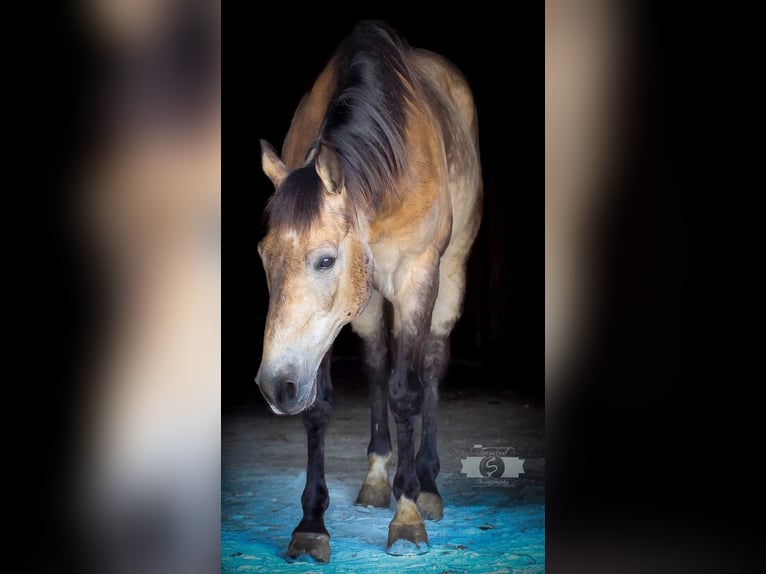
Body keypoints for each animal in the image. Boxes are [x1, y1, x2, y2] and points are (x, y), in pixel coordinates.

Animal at [258, 21, 486, 564]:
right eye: (262, 256)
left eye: (325, 260)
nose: (274, 387)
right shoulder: (329, 325)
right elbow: (321, 405)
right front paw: (312, 524)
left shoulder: (416, 278)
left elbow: (407, 393)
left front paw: (407, 517)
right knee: (378, 364)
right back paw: (377, 479)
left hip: (449, 274)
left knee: (430, 366)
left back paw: (426, 485)